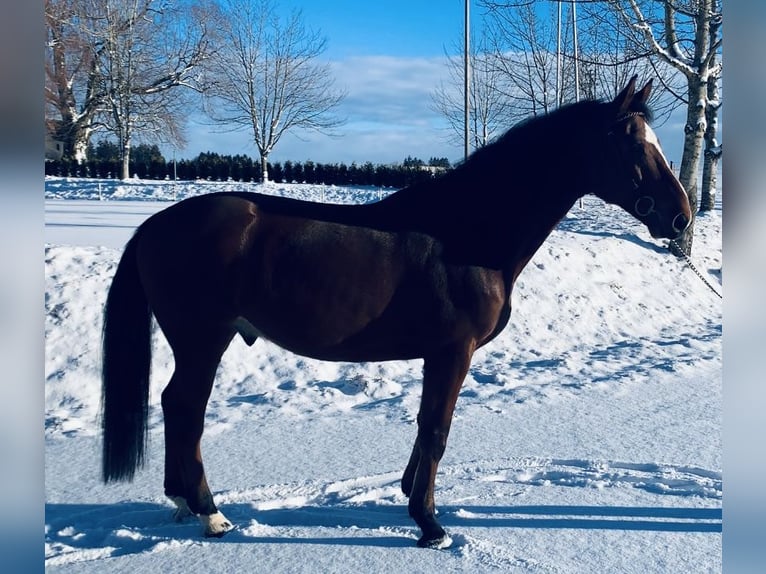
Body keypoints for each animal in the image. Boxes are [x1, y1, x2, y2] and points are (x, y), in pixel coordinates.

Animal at [101, 76, 691, 549]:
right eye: (632, 144)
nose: (681, 218)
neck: (470, 232)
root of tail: (154, 225)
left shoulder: (439, 355)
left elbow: (426, 427)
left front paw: (410, 495)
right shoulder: (452, 352)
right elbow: (437, 429)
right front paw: (429, 524)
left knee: (174, 406)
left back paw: (182, 502)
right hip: (204, 340)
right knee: (185, 410)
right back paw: (211, 513)